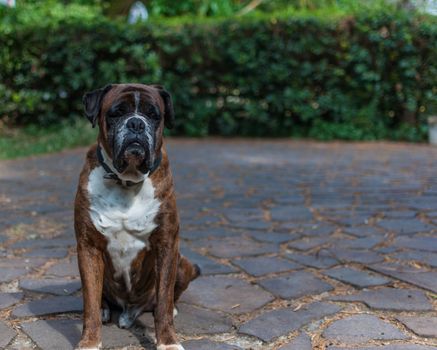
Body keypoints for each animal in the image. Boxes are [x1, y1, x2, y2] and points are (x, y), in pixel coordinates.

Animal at [73, 83, 199, 348]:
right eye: (117, 113)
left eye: (153, 115)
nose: (136, 124)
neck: (127, 181)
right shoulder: (88, 247)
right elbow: (89, 303)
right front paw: (89, 341)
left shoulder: (167, 245)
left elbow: (163, 301)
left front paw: (168, 340)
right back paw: (105, 309)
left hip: (184, 263)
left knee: (162, 300)